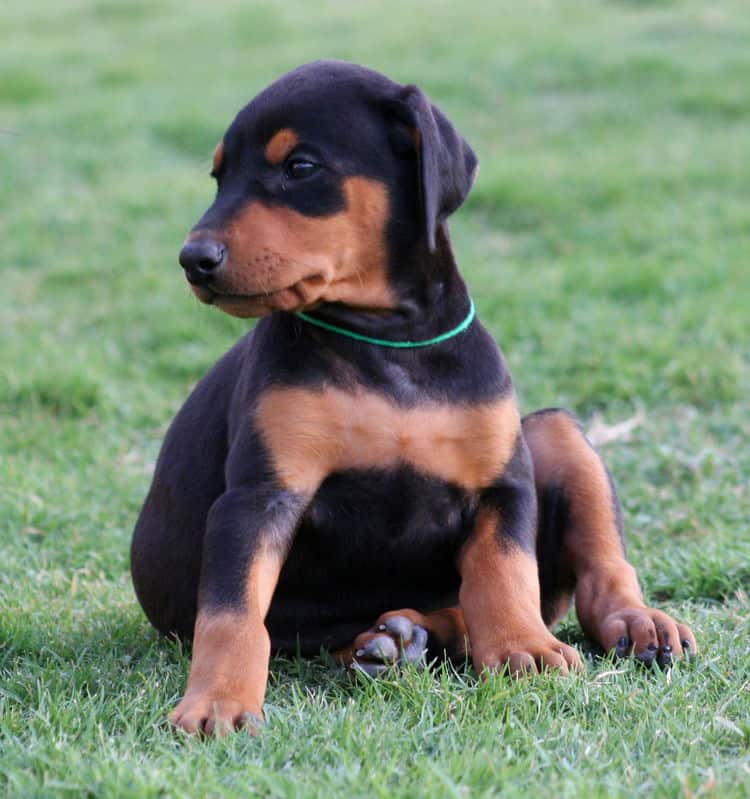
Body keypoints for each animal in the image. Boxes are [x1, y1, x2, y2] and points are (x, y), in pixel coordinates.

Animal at [131, 61, 700, 736]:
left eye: (300, 166)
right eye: (220, 176)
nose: (194, 258)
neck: (390, 343)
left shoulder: (503, 484)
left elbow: (504, 573)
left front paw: (523, 648)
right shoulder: (259, 496)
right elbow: (231, 611)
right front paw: (217, 701)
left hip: (551, 432)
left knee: (590, 578)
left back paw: (634, 623)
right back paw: (393, 643)